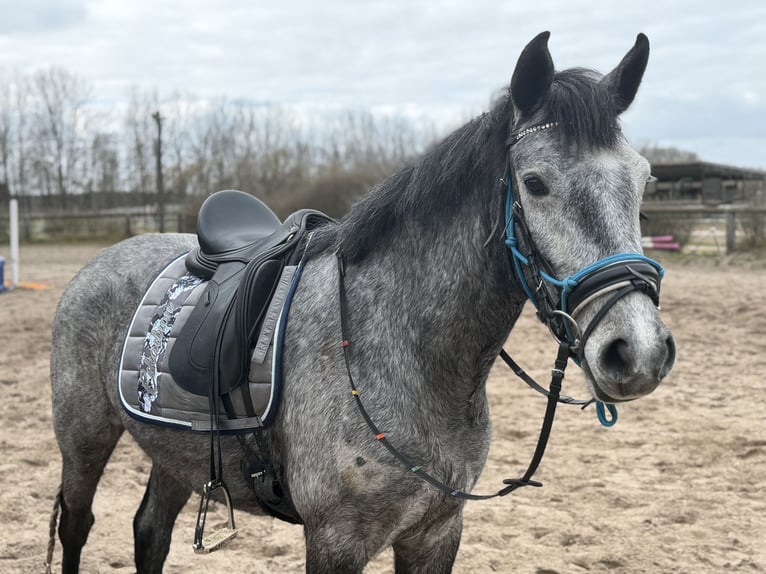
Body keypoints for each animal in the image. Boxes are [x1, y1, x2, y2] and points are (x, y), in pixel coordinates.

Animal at [49, 31, 676, 573]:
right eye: (536, 183)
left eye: (643, 179)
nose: (637, 352)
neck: (405, 352)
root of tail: (103, 260)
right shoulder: (336, 541)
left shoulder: (436, 532)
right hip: (83, 438)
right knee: (76, 526)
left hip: (175, 453)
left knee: (150, 532)